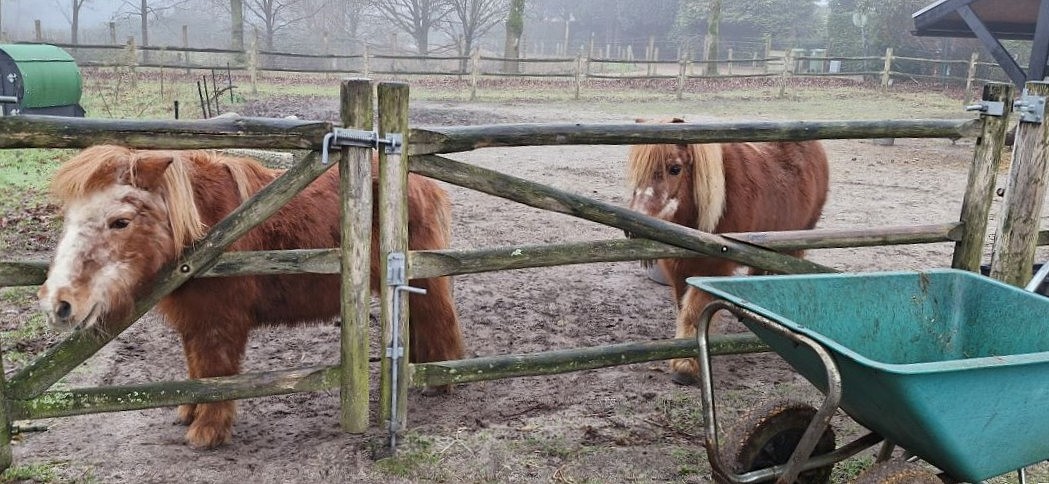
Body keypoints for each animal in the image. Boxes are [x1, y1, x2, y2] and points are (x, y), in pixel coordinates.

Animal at [38, 143, 463, 449]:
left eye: (120, 222)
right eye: (69, 218)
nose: (58, 302)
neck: (206, 231)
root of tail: (424, 183)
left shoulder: (221, 323)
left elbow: (217, 372)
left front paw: (208, 432)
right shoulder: (195, 321)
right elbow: (197, 369)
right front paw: (190, 411)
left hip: (428, 282)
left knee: (441, 322)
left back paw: (441, 382)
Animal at [625, 117, 830, 384]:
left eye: (675, 169)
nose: (634, 226)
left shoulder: (713, 267)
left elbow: (692, 312)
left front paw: (685, 366)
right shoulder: (678, 270)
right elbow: (682, 308)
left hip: (796, 244)